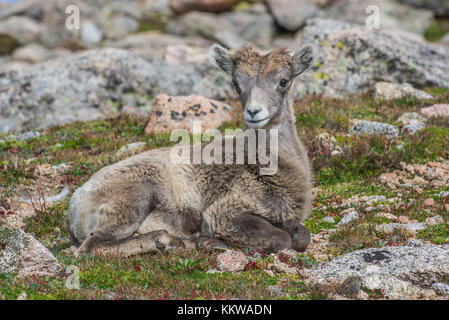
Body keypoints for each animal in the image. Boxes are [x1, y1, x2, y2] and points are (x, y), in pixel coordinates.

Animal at [65, 43, 312, 256]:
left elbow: (302, 236)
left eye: (283, 81)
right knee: (91, 247)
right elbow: (282, 239)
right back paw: (173, 240)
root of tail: (74, 209)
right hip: (134, 196)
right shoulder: (225, 212)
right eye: (235, 82)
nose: (253, 112)